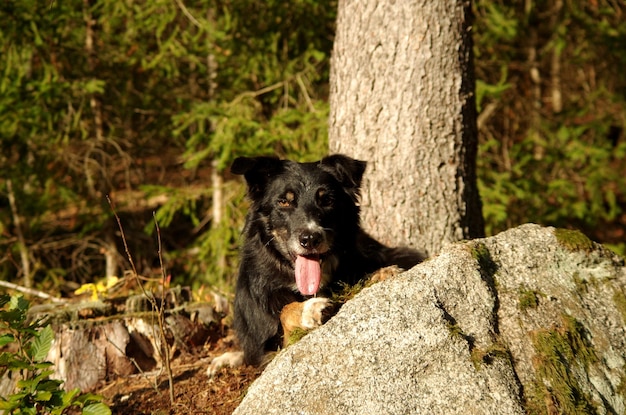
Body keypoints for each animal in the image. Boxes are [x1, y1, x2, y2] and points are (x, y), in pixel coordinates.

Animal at [207, 154, 422, 376]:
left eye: (326, 200)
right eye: (284, 201)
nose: (310, 238)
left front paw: (380, 274)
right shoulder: (266, 349)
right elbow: (284, 313)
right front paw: (307, 310)